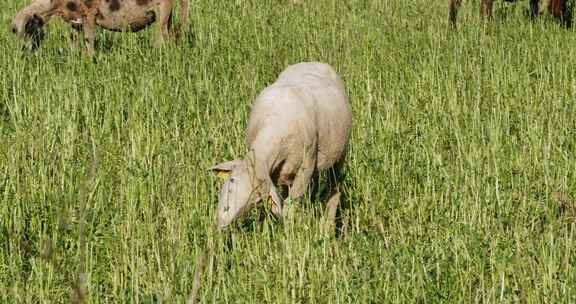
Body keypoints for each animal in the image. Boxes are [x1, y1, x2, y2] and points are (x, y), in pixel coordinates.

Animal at [10, 0, 189, 54]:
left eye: (28, 29)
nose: (23, 51)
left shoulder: (89, 12)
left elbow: (89, 39)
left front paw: (90, 60)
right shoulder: (76, 21)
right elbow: (73, 40)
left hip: (163, 8)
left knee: (162, 35)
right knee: (170, 33)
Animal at [210, 61, 352, 228]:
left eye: (256, 199)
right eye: (231, 181)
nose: (224, 218)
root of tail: (314, 62)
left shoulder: (305, 169)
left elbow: (290, 206)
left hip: (339, 155)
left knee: (333, 188)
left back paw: (327, 227)